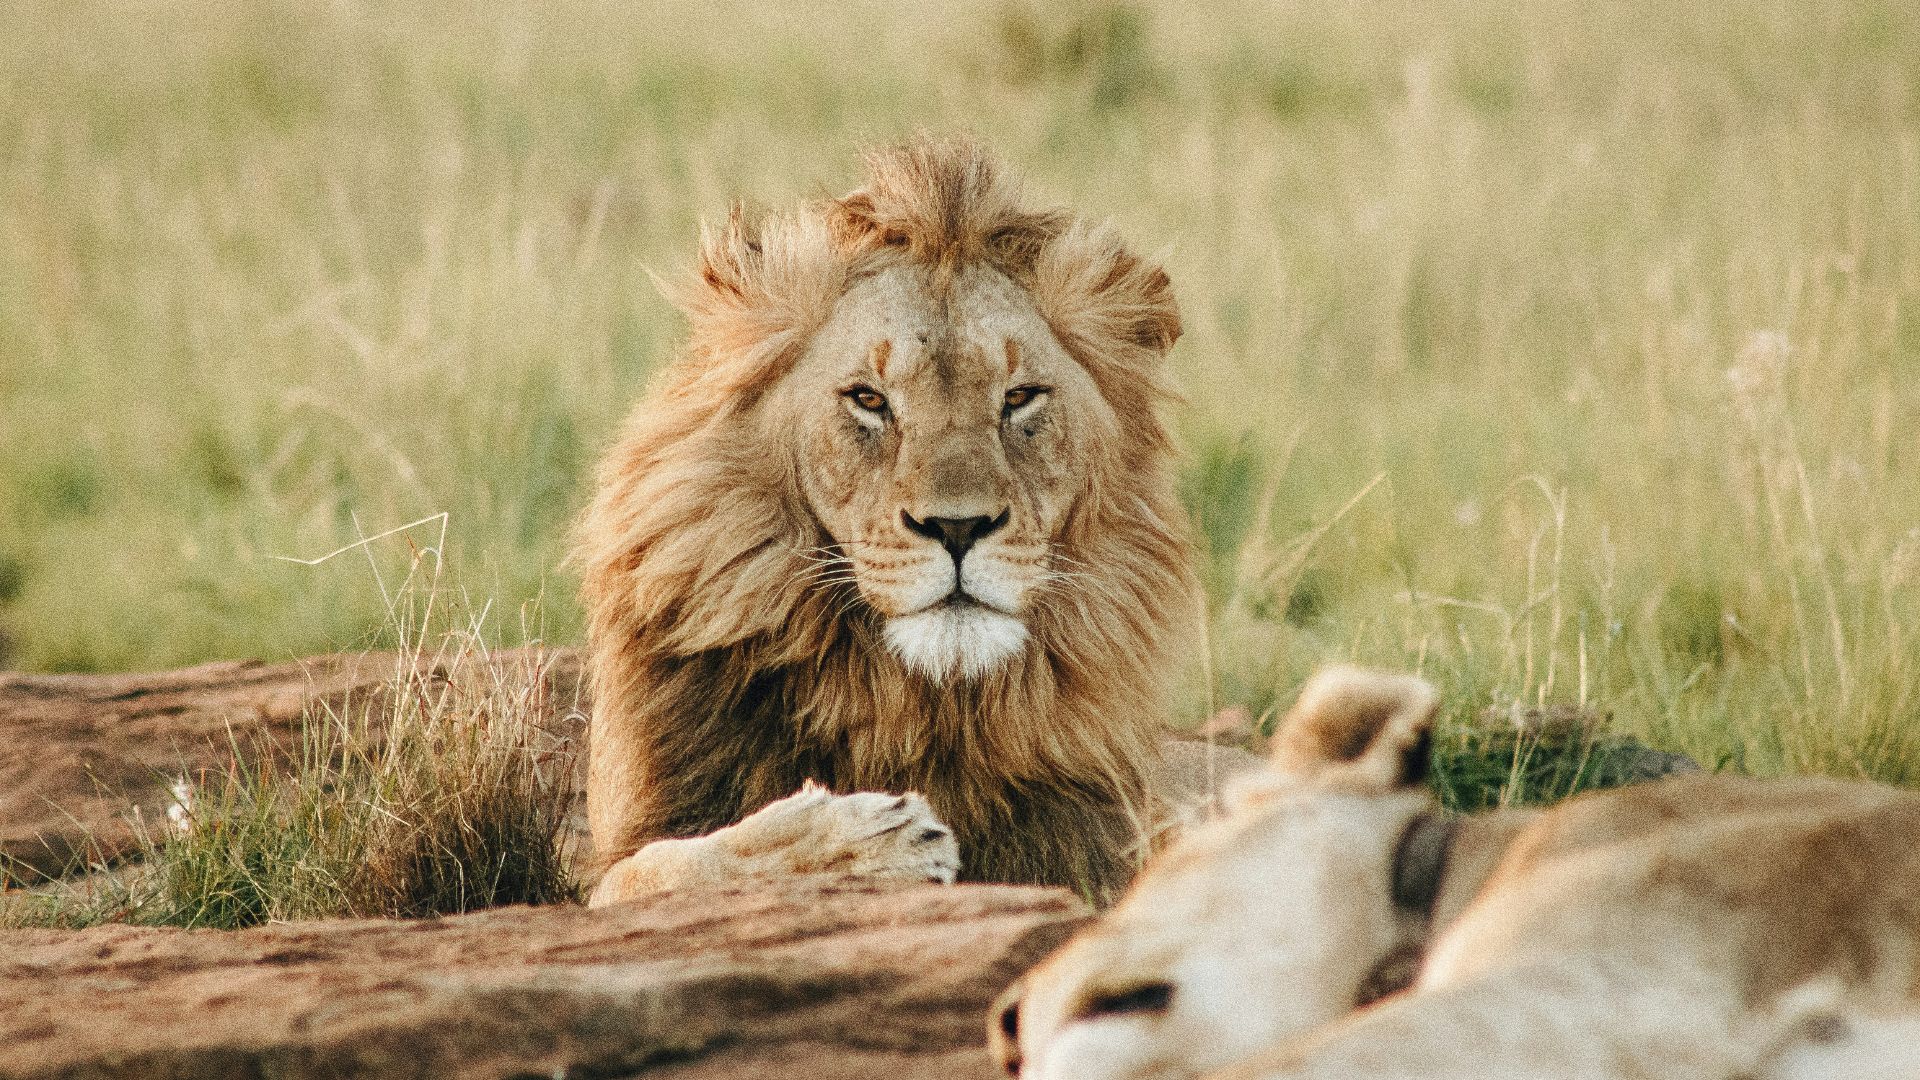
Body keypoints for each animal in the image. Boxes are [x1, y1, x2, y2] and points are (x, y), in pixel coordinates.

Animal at [573, 136, 1260, 907]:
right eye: (869, 399)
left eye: (1019, 397)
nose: (958, 528)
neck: (914, 704)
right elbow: (666, 866)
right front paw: (866, 841)